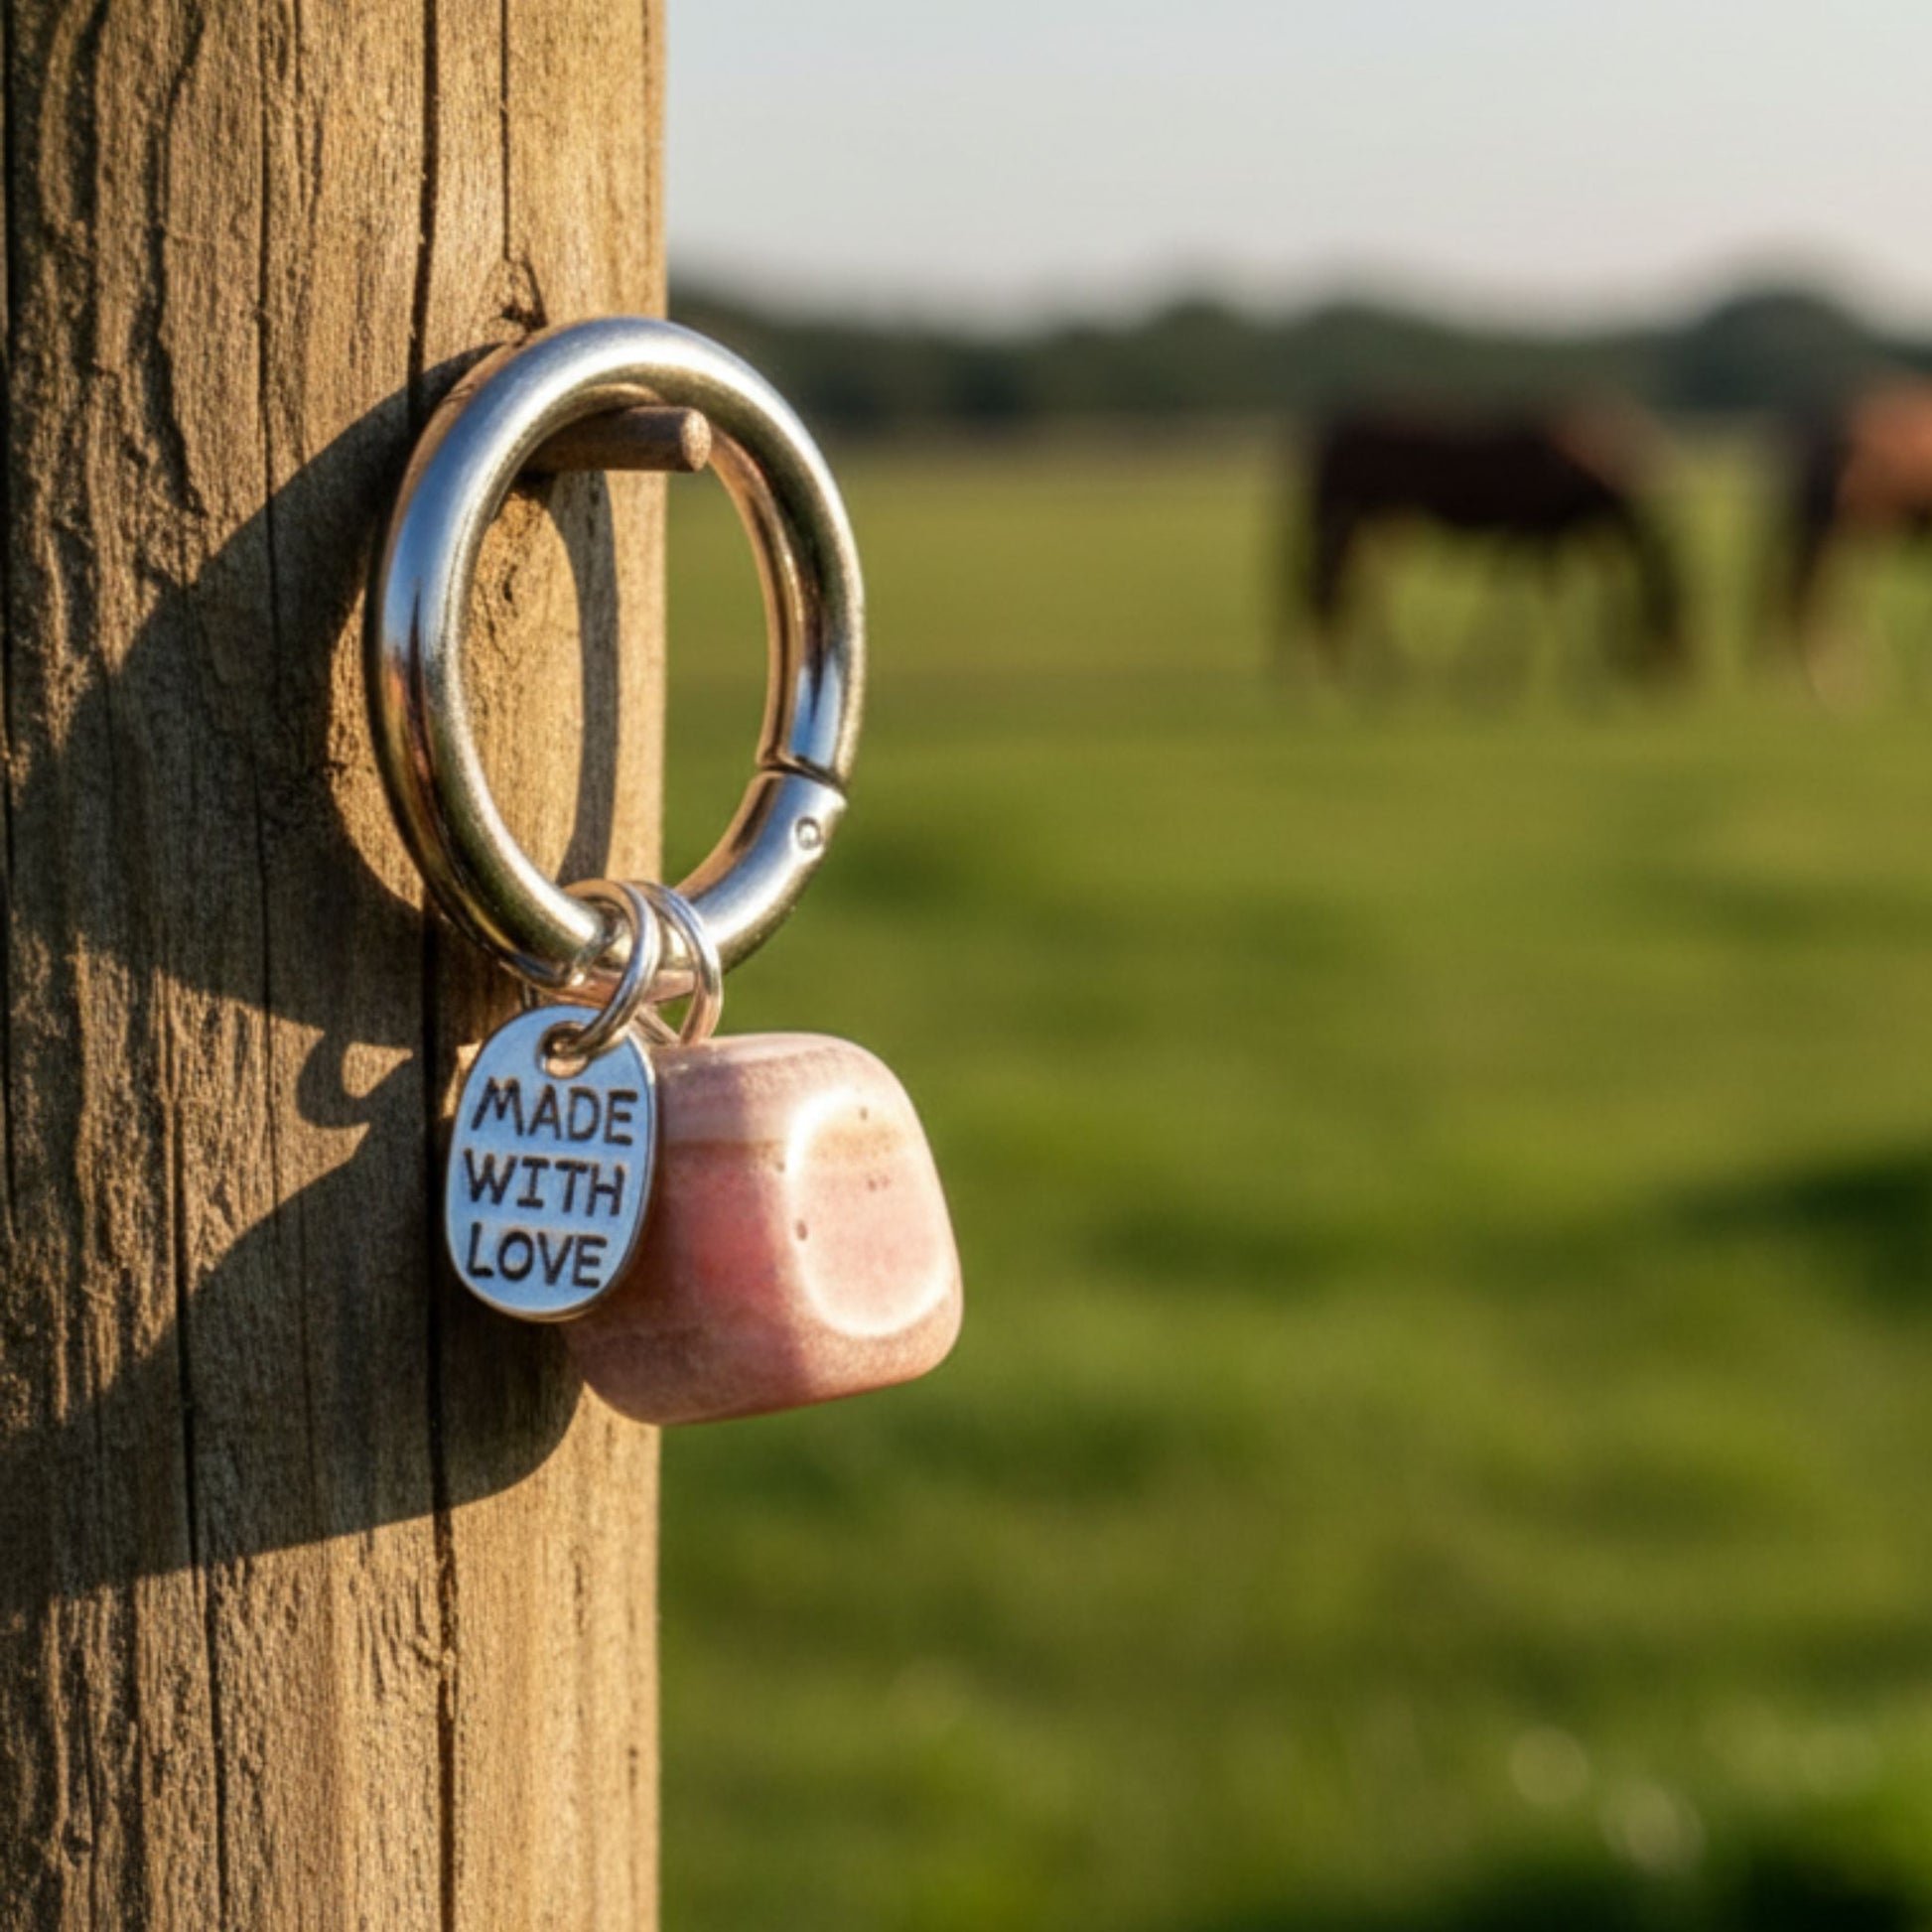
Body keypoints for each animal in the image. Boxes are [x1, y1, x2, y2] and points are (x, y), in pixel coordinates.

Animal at [1287, 409, 1684, 684]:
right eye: (1665, 616)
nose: (1671, 672)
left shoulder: (1539, 536)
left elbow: (1522, 590)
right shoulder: (1541, 534)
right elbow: (1540, 594)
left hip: (1363, 524)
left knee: (1345, 587)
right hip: (1353, 522)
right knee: (1343, 587)